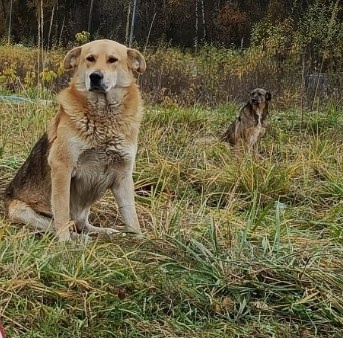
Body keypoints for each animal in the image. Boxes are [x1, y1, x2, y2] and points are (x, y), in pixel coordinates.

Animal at [4, 39, 146, 240]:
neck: (103, 118)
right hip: (22, 211)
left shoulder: (123, 176)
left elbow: (131, 216)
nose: (95, 77)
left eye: (112, 60)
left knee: (83, 224)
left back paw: (105, 232)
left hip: (84, 210)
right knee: (59, 226)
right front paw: (64, 242)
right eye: (90, 58)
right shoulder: (62, 167)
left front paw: (143, 240)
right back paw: (77, 239)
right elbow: (62, 214)